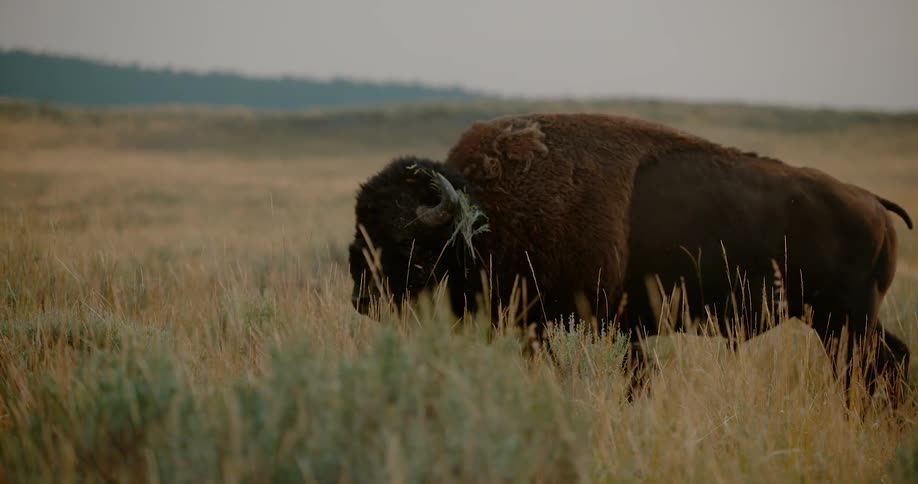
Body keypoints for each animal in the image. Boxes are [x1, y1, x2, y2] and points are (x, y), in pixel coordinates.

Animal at [348, 113, 913, 401]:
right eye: (359, 233)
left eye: (406, 244)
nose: (361, 300)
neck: (486, 217)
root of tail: (872, 202)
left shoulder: (595, 325)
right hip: (840, 321)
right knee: (892, 362)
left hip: (845, 321)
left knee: (874, 369)